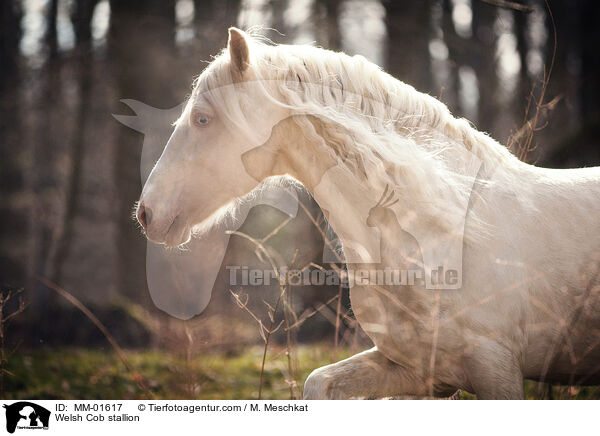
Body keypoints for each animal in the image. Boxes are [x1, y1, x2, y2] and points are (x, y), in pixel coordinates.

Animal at [138, 28, 600, 398]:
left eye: (203, 119)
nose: (146, 214)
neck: (443, 229)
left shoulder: (496, 370)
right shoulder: (420, 372)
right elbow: (318, 383)